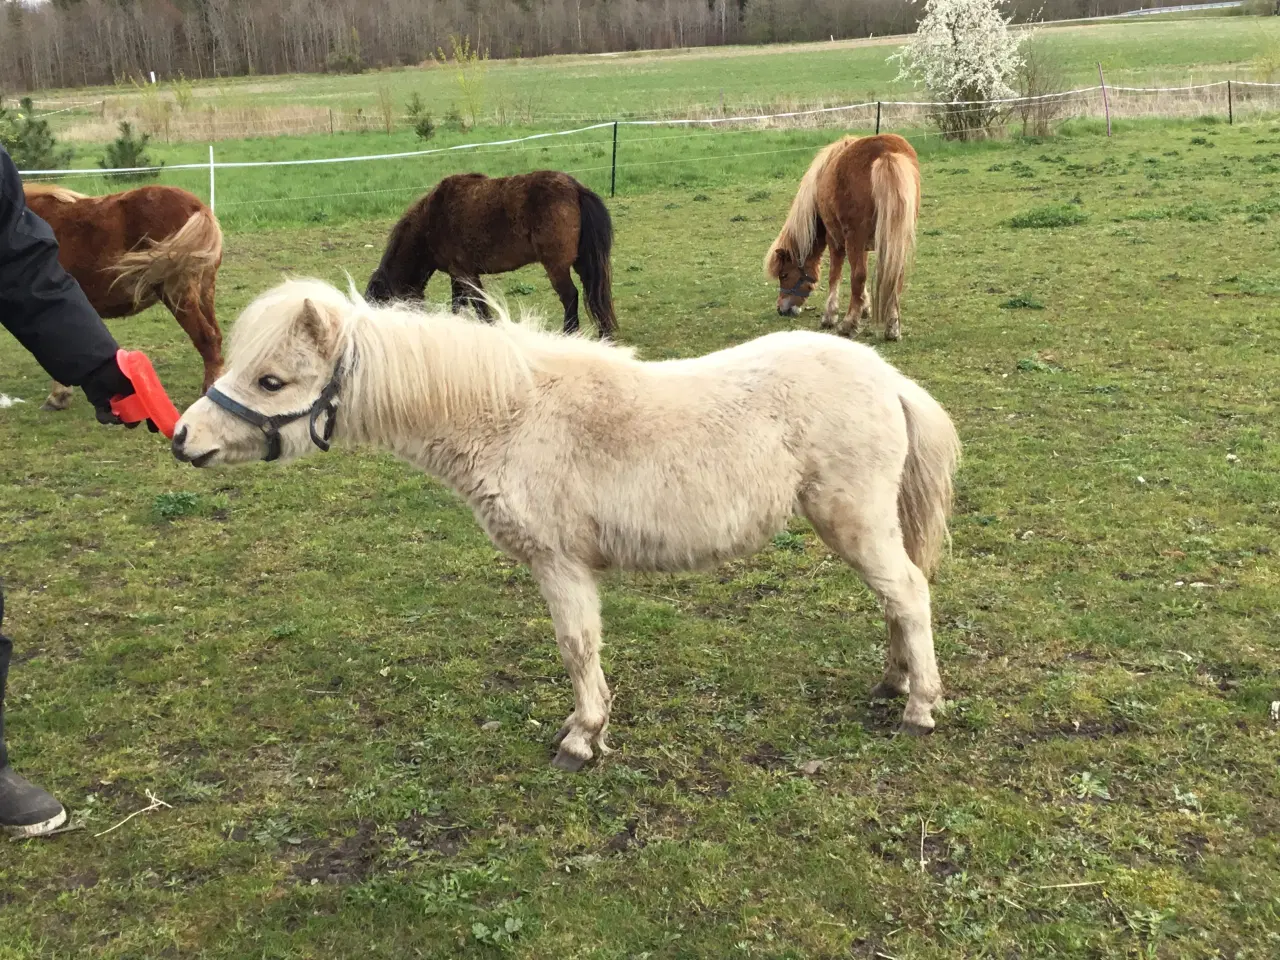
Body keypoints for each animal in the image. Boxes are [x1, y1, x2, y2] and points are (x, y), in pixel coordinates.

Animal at [23, 181, 224, 407]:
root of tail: (197, 207)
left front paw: (57, 396)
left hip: (178, 295)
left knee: (207, 339)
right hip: (205, 292)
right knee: (216, 336)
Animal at [175, 280, 962, 773]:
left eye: (272, 380)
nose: (184, 438)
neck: (509, 416)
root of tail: (889, 379)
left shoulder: (558, 564)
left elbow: (577, 648)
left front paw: (582, 739)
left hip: (852, 522)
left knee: (909, 593)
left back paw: (919, 707)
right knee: (897, 598)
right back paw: (893, 681)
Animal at [363, 171, 616, 340]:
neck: (431, 219)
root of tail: (576, 189)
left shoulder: (466, 274)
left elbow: (481, 308)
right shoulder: (458, 275)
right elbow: (458, 306)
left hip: (557, 267)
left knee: (570, 297)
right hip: (582, 263)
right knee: (594, 293)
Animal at [762, 135, 926, 343]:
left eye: (783, 275)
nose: (781, 309)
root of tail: (886, 152)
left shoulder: (836, 239)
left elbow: (835, 275)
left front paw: (830, 316)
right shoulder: (863, 244)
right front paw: (865, 307)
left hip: (855, 237)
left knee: (858, 276)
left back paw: (848, 325)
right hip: (895, 241)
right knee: (895, 276)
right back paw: (892, 328)